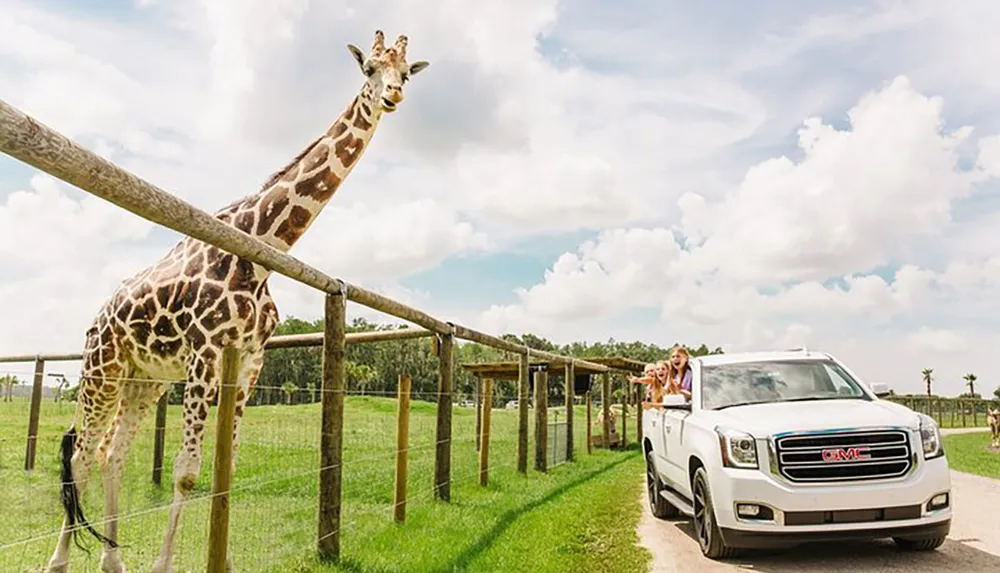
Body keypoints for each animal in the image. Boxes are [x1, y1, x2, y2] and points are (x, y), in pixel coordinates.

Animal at [44, 30, 430, 572]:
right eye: (369, 69)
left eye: (406, 73)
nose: (392, 96)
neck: (261, 250)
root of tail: (97, 319)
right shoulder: (205, 352)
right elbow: (187, 471)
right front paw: (164, 564)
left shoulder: (249, 360)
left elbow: (227, 464)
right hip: (103, 368)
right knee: (81, 454)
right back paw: (58, 560)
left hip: (146, 380)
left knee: (111, 454)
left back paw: (113, 560)